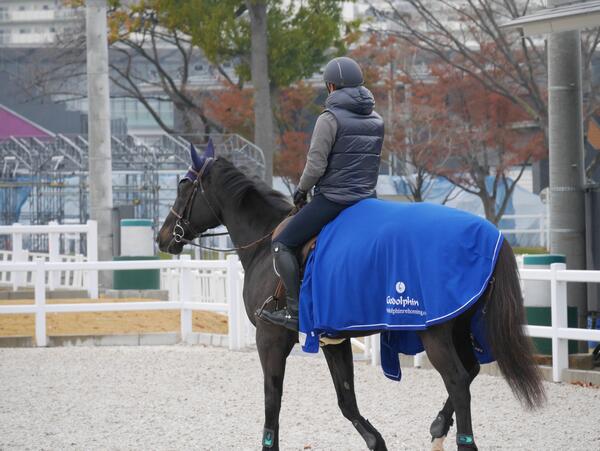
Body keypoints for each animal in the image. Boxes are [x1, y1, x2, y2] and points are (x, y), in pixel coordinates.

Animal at [157, 147, 548, 448]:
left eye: (184, 187)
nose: (163, 237)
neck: (267, 243)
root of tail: (491, 234)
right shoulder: (334, 339)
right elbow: (346, 401)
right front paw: (377, 442)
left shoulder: (270, 339)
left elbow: (272, 401)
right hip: (459, 327)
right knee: (469, 372)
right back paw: (439, 425)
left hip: (435, 332)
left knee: (458, 381)